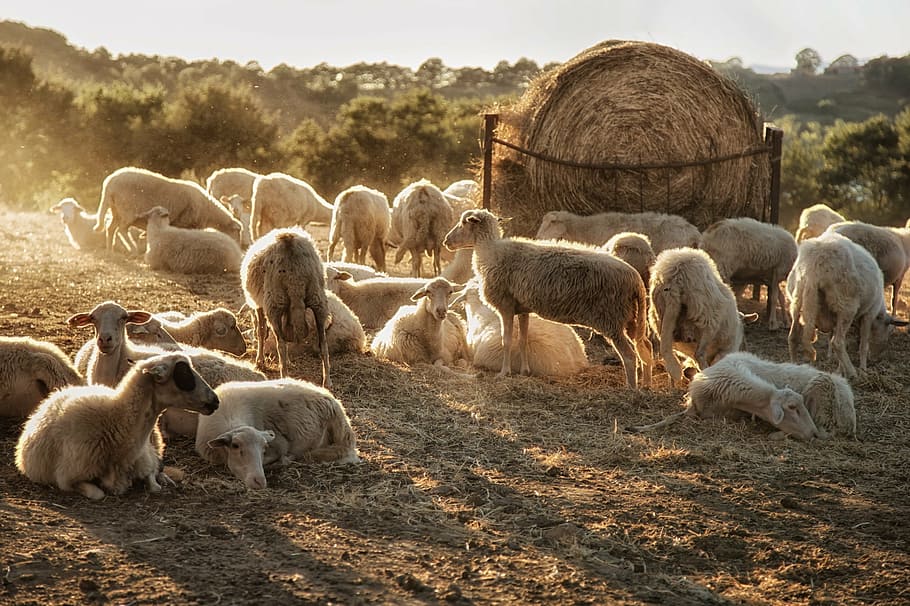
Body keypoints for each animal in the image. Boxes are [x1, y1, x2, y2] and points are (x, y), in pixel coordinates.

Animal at [15, 352, 219, 500]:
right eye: (183, 375)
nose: (215, 401)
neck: (117, 422)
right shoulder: (68, 478)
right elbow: (98, 493)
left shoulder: (145, 456)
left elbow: (154, 483)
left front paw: (161, 480)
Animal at [92, 166, 242, 252]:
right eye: (237, 232)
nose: (239, 246)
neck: (208, 210)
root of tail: (109, 183)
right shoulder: (185, 223)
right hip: (127, 210)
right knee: (122, 230)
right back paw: (133, 249)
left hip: (116, 210)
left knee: (110, 228)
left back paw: (110, 251)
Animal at [241, 227, 331, 387]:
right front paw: (288, 362)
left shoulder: (259, 306)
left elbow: (261, 332)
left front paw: (260, 362)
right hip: (318, 297)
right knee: (323, 344)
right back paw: (327, 381)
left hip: (274, 301)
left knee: (280, 344)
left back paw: (284, 376)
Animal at [648, 247, 744, 388]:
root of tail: (675, 277)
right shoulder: (725, 348)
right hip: (707, 319)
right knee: (699, 354)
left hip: (660, 316)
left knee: (667, 350)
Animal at [787, 231, 908, 378]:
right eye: (887, 330)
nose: (876, 359)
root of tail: (815, 265)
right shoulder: (868, 314)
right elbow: (863, 345)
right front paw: (863, 369)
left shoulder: (835, 320)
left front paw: (840, 370)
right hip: (845, 305)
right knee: (837, 343)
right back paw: (853, 372)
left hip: (797, 300)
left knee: (793, 337)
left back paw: (793, 366)